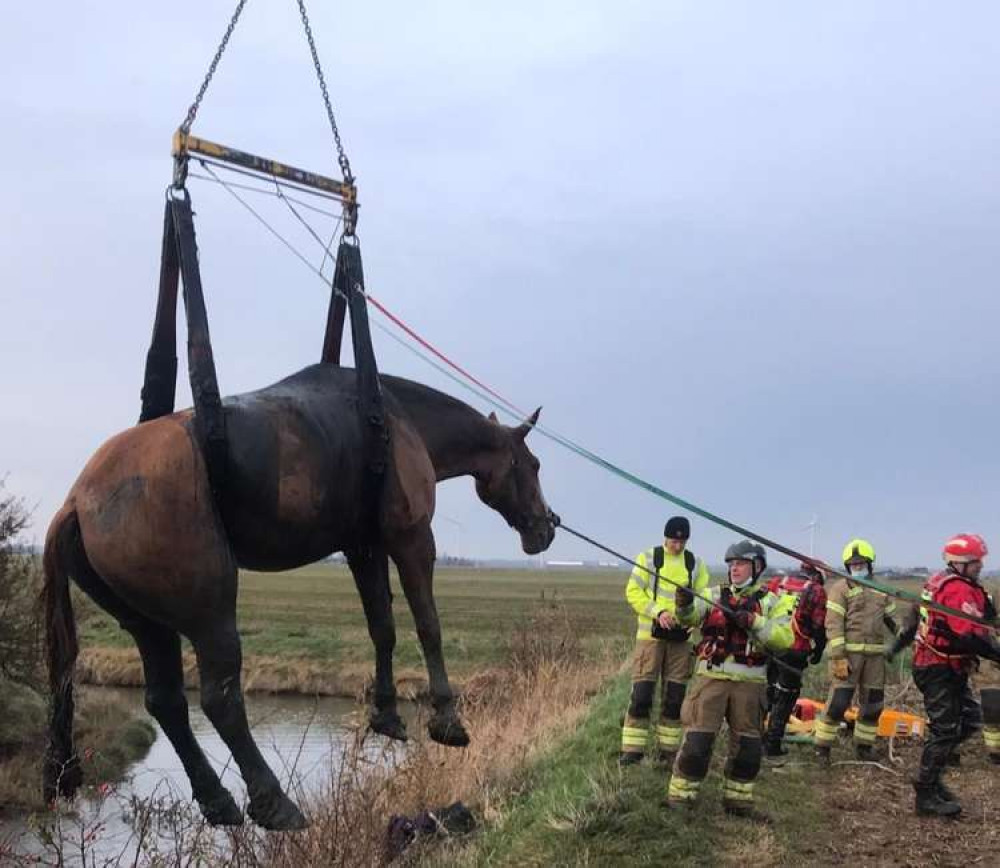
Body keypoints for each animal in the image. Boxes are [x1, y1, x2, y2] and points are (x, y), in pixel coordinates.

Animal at [43, 362, 560, 832]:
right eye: (533, 465)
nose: (547, 527)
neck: (394, 417)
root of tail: (76, 502)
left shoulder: (363, 546)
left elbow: (383, 628)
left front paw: (387, 714)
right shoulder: (412, 538)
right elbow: (427, 624)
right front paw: (446, 719)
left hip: (149, 626)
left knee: (166, 702)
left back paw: (219, 802)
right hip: (211, 616)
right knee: (220, 701)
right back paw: (274, 803)